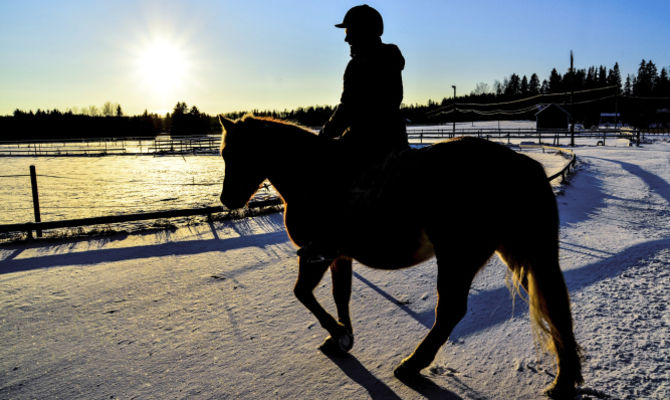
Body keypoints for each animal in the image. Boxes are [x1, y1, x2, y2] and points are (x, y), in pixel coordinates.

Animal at [219, 114, 584, 398]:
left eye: (238, 152)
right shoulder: (339, 255)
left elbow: (303, 293)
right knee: (554, 302)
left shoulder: (316, 252)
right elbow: (341, 295)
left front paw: (340, 335)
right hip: (515, 251)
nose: (227, 200)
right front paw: (341, 335)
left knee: (450, 311)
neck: (313, 175)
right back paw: (565, 380)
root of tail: (519, 165)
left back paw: (411, 366)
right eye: (224, 153)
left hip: (458, 254)